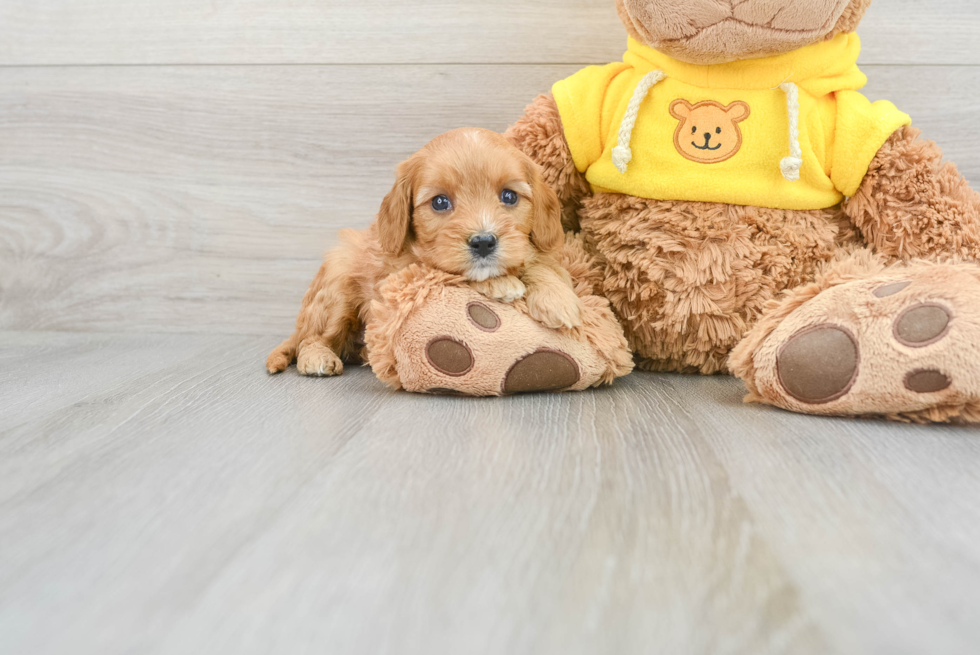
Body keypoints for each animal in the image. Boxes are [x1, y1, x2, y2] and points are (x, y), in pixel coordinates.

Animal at [266, 128, 580, 376]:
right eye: (440, 202)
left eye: (509, 196)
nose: (483, 242)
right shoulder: (400, 274)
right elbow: (446, 270)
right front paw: (501, 283)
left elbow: (540, 264)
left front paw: (558, 298)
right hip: (337, 283)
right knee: (310, 339)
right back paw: (317, 358)